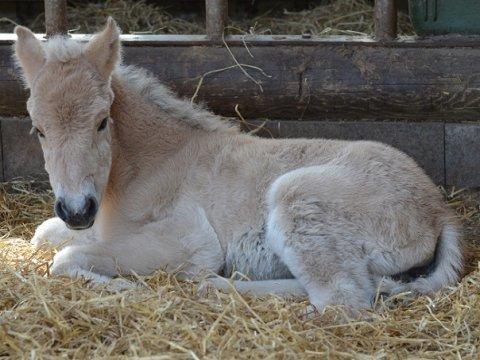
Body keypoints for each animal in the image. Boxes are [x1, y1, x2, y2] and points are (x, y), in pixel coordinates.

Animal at [15, 17, 462, 310]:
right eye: (38, 129)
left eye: (102, 121)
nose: (77, 210)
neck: (148, 164)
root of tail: (439, 211)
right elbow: (44, 236)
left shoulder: (189, 239)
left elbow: (64, 259)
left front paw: (125, 288)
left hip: (296, 199)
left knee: (342, 300)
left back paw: (212, 284)